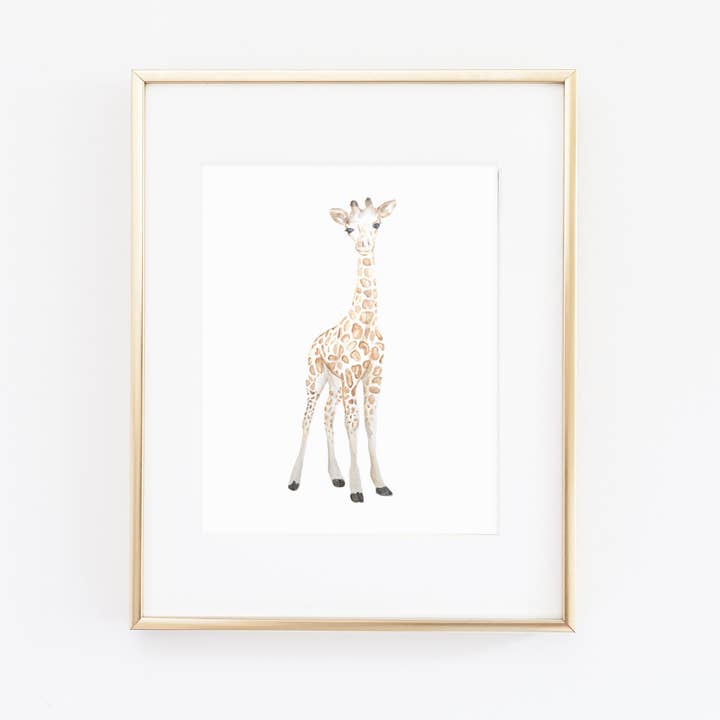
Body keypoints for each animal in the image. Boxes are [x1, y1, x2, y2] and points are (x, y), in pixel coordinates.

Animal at [288, 197, 396, 503]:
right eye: (348, 228)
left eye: (377, 223)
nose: (364, 244)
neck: (368, 322)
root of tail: (314, 341)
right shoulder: (351, 377)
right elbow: (353, 425)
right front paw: (357, 489)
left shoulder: (373, 377)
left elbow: (370, 424)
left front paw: (380, 483)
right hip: (315, 378)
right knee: (307, 419)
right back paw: (294, 480)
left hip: (334, 383)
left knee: (327, 416)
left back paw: (335, 476)